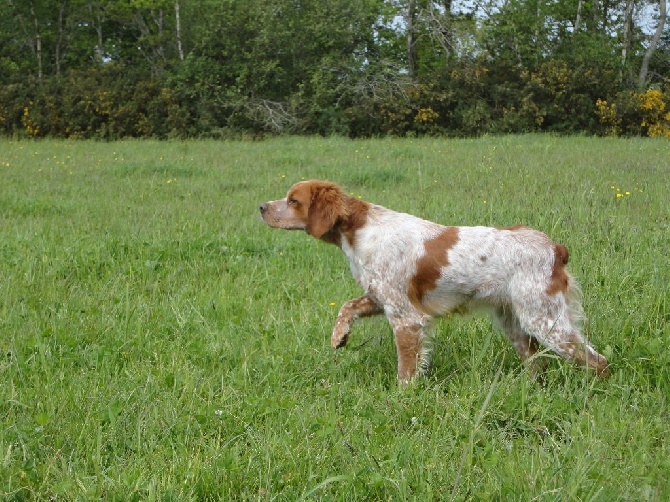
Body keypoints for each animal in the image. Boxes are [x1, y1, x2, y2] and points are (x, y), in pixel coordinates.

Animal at [260, 178, 612, 382]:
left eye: (293, 200)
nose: (262, 206)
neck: (359, 230)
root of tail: (555, 248)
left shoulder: (406, 318)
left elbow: (406, 370)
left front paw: (402, 399)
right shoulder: (381, 297)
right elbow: (347, 306)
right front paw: (340, 336)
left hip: (545, 321)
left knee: (598, 361)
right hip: (517, 324)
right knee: (538, 364)